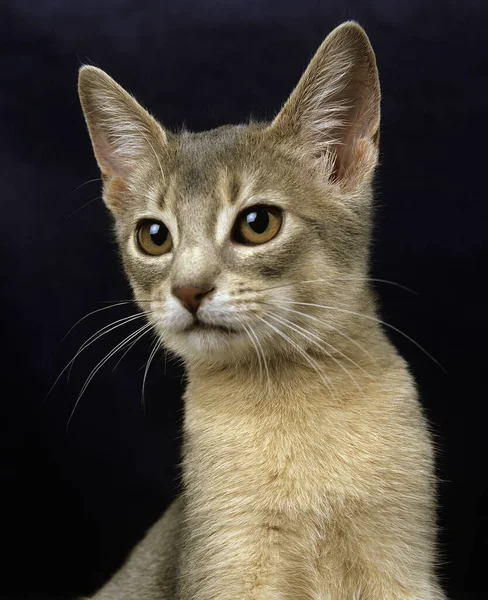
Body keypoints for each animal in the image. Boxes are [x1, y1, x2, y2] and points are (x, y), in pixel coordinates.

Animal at [77, 21, 446, 600]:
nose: (188, 290)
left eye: (257, 224)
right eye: (153, 236)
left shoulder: (402, 567)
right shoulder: (227, 564)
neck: (293, 399)